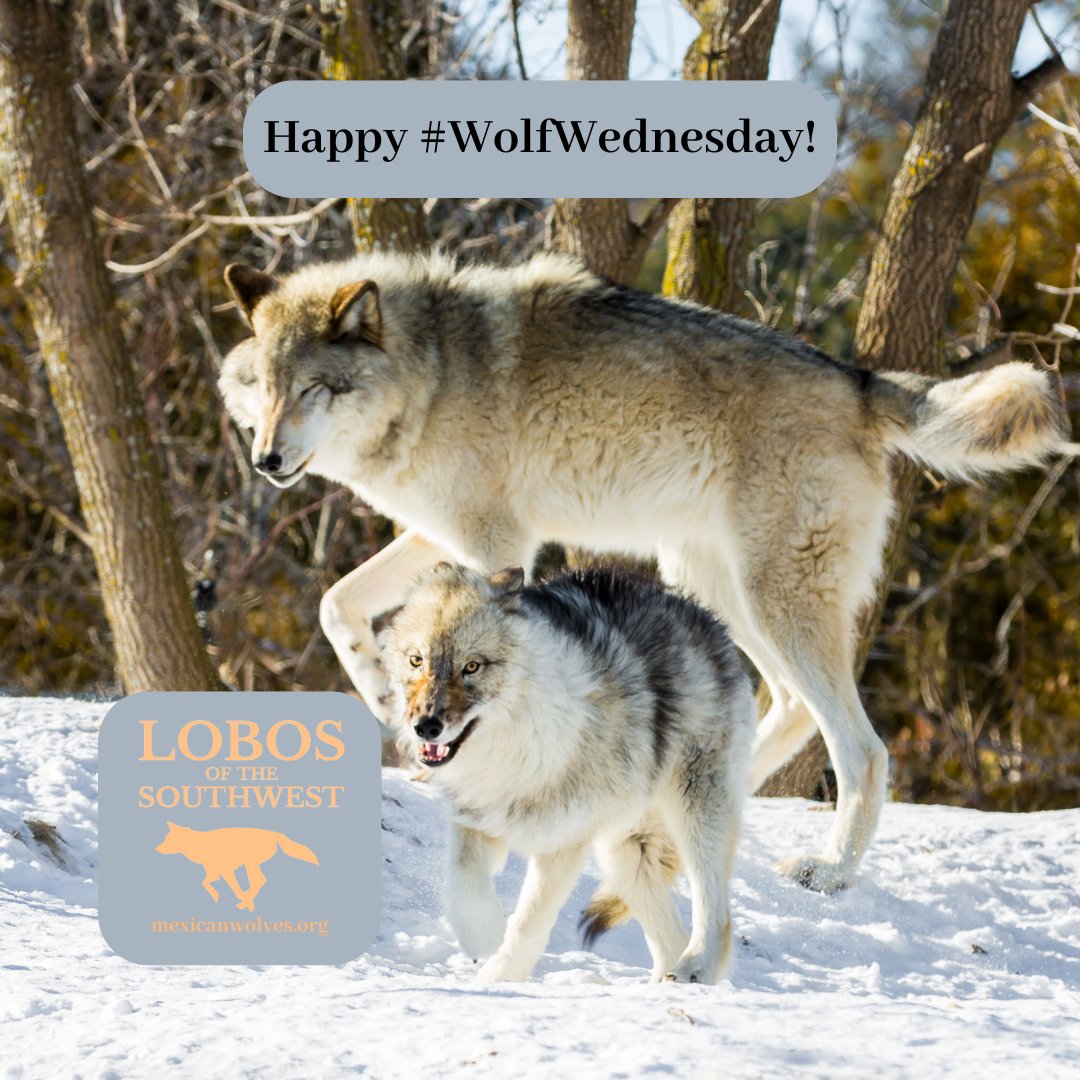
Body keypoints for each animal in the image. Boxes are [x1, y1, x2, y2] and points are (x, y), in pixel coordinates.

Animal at [155, 822, 319, 912]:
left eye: (167, 839)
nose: (156, 849)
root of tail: (275, 833)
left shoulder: (227, 871)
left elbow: (235, 889)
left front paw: (242, 901)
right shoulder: (214, 872)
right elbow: (205, 883)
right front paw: (216, 896)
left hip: (250, 864)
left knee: (259, 881)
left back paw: (244, 902)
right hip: (250, 865)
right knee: (260, 881)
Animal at [218, 251, 1077, 893]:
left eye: (315, 390)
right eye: (263, 389)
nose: (265, 462)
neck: (430, 374)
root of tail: (859, 379)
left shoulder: (497, 543)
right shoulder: (443, 531)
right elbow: (337, 604)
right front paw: (379, 690)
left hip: (773, 598)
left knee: (860, 747)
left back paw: (829, 872)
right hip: (712, 585)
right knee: (788, 705)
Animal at [380, 562, 754, 983]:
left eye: (471, 667)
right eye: (417, 660)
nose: (425, 727)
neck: (518, 737)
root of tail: (709, 622)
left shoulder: (563, 841)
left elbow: (528, 923)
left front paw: (497, 979)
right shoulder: (476, 816)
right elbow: (463, 885)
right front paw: (485, 938)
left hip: (694, 815)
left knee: (716, 912)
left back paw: (695, 968)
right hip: (625, 854)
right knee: (668, 934)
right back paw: (664, 983)